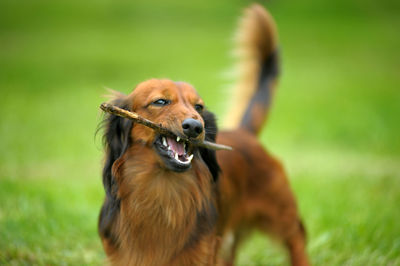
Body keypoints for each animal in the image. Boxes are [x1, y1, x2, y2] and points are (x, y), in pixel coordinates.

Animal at [97, 4, 310, 266]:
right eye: (160, 101)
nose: (195, 127)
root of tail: (243, 132)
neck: (161, 193)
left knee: (297, 239)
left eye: (198, 107)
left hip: (282, 214)